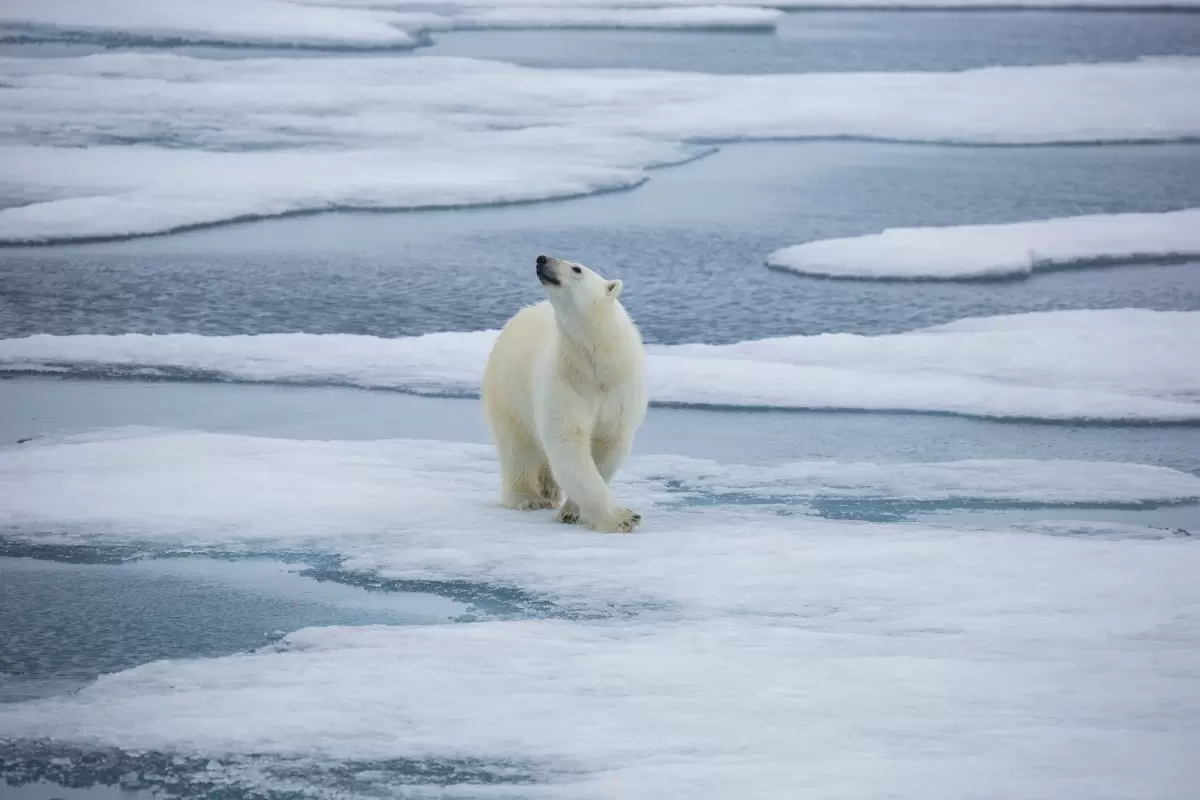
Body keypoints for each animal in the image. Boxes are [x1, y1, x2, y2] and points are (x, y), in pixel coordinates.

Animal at [480, 255, 648, 532]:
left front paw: (573, 511)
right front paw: (622, 518)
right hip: (507, 388)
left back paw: (549, 490)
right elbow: (568, 439)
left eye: (577, 268)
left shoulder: (621, 387)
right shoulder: (566, 380)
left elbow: (609, 440)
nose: (542, 259)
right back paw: (529, 497)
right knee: (518, 445)